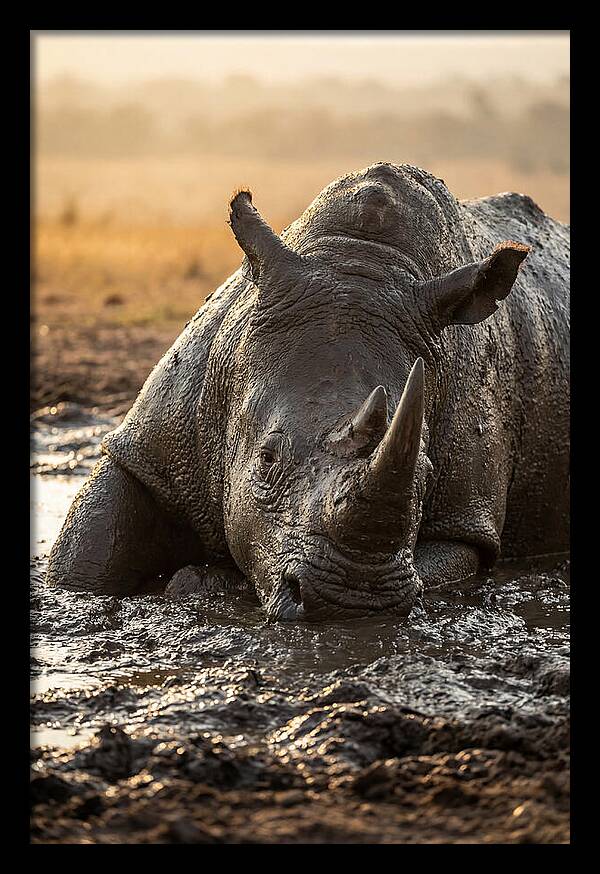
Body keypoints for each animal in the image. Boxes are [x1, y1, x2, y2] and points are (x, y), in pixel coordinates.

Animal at [47, 163, 570, 620]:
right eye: (266, 459)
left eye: (425, 472)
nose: (353, 600)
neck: (361, 261)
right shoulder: (150, 445)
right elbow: (85, 555)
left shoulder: (467, 518)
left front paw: (202, 582)